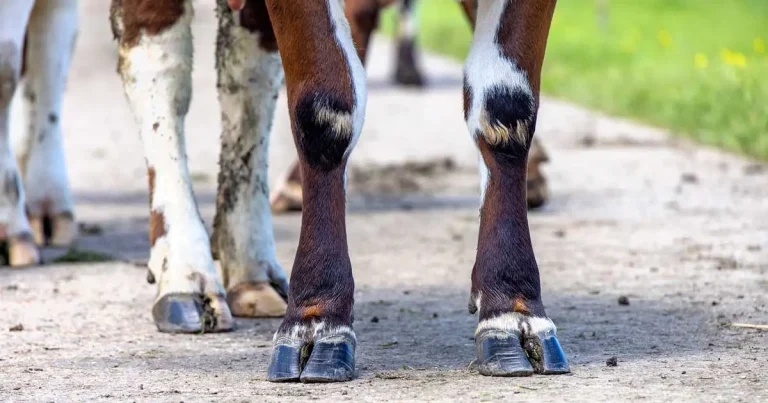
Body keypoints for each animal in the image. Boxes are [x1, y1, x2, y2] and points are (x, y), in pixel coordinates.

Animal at [0, 0, 569, 383]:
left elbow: (506, 108)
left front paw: (512, 307)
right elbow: (325, 108)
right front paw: (318, 319)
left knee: (244, 71)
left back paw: (249, 266)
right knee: (147, 61)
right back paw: (175, 267)